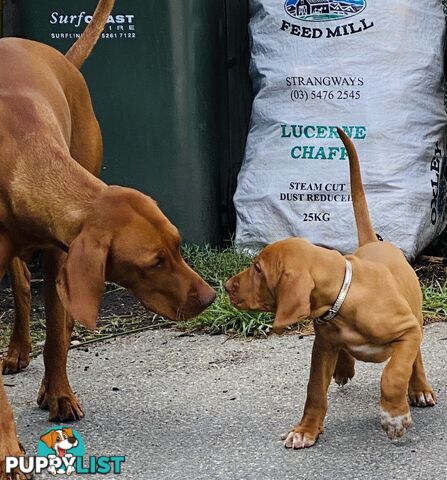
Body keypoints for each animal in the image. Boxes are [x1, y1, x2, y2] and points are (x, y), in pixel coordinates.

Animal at [0, 0, 215, 474]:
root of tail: (60, 55)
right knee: (21, 282)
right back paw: (17, 350)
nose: (211, 298)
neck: (22, 152)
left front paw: (59, 395)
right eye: (154, 261)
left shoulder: (60, 253)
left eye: (178, 244)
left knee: (37, 298)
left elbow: (57, 337)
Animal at [226, 128, 436, 450]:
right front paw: (306, 430)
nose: (226, 286)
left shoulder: (407, 330)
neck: (344, 298)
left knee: (415, 359)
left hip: (416, 316)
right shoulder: (322, 344)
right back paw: (344, 367)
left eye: (258, 269)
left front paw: (394, 417)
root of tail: (373, 243)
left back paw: (419, 389)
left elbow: (394, 374)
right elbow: (314, 390)